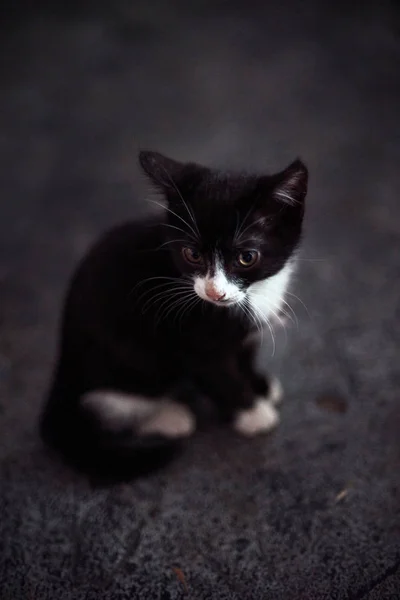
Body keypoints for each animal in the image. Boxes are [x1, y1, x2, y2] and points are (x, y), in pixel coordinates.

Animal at [39, 151, 308, 482]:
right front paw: (253, 413)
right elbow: (219, 376)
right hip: (132, 360)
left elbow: (245, 353)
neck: (255, 292)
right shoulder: (192, 338)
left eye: (247, 257)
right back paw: (167, 416)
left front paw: (259, 384)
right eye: (192, 255)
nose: (214, 292)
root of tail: (64, 367)